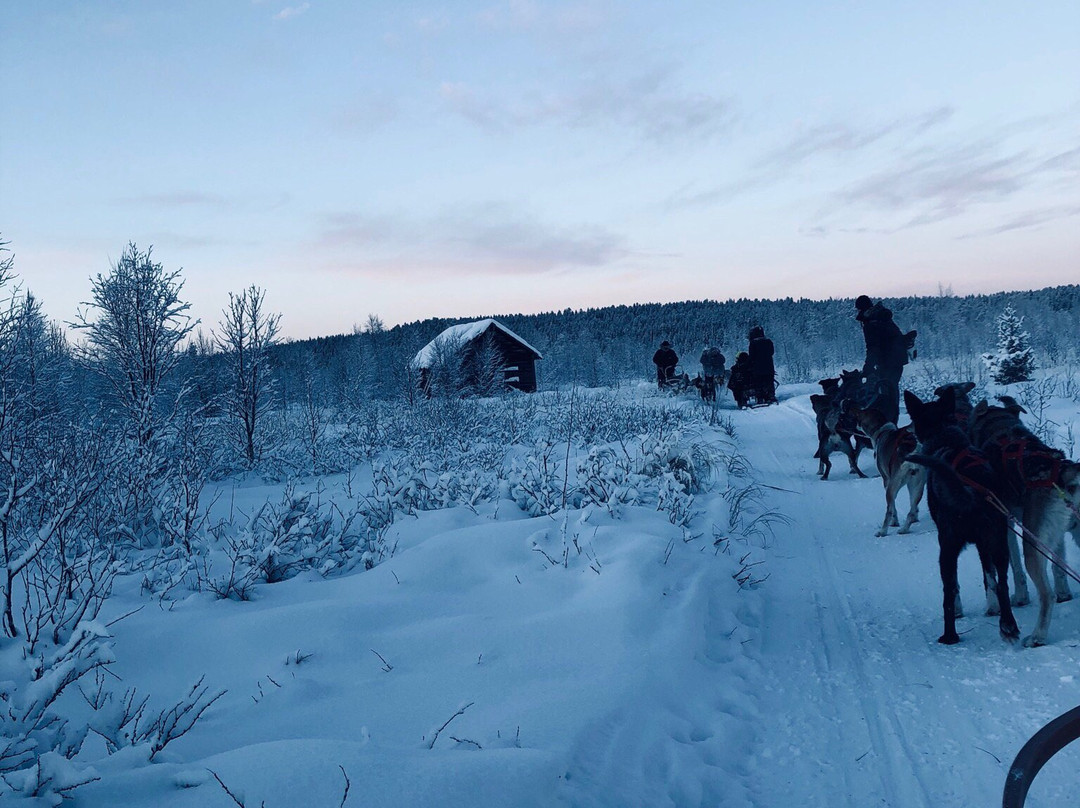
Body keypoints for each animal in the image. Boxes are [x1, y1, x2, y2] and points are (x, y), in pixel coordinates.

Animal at [907, 388, 1015, 648]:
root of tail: (972, 491)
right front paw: (993, 607)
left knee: (948, 592)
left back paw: (949, 636)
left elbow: (954, 587)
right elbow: (990, 577)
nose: (908, 430)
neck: (945, 438)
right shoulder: (984, 545)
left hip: (947, 547)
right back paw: (1008, 626)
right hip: (999, 542)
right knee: (1004, 582)